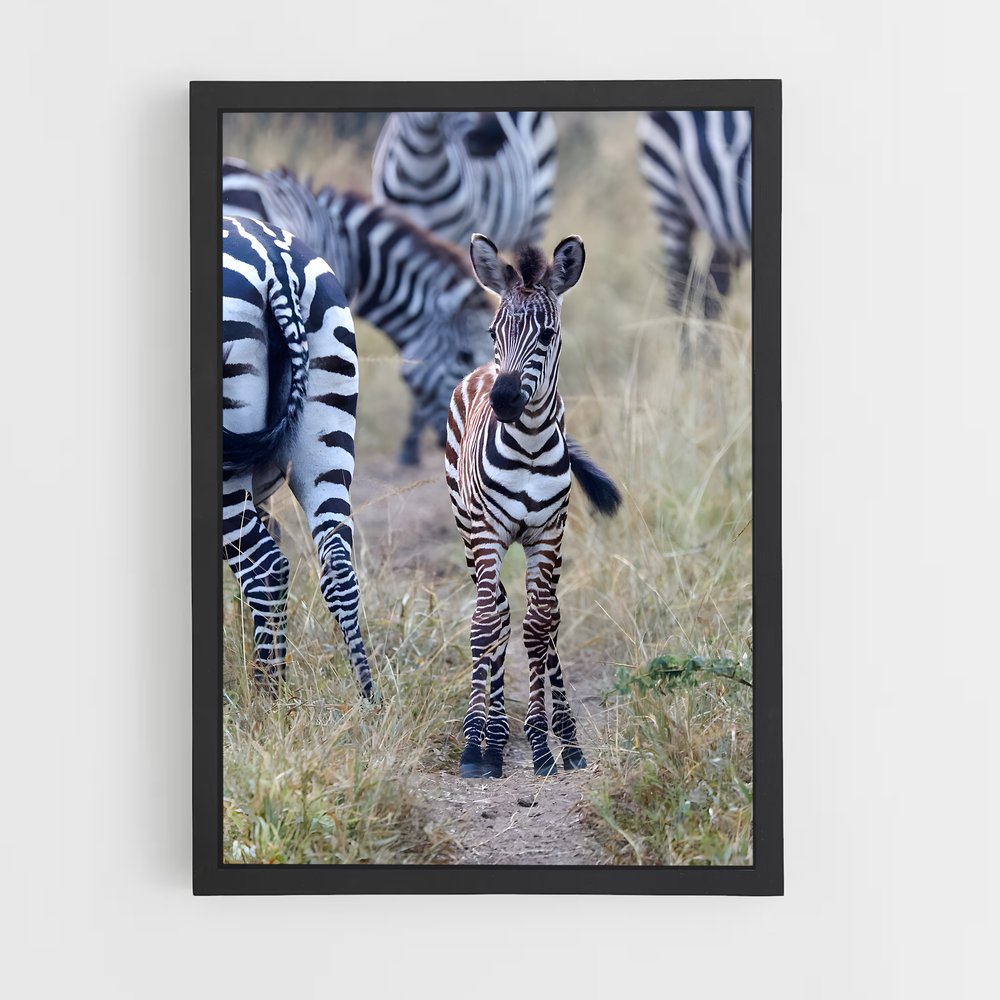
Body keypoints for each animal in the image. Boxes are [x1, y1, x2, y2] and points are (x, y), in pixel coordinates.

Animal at [222, 215, 372, 698]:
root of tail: (275, 261)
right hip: (326, 436)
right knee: (339, 565)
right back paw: (366, 698)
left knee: (265, 569)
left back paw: (267, 699)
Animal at [445, 233, 622, 779]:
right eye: (493, 330)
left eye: (546, 334)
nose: (503, 401)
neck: (526, 446)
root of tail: (484, 371)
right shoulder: (488, 533)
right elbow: (486, 626)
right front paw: (475, 748)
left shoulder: (548, 534)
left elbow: (540, 628)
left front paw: (546, 744)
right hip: (467, 531)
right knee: (499, 613)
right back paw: (493, 738)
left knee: (547, 618)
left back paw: (565, 739)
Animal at [637, 110, 752, 356]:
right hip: (669, 200)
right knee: (679, 291)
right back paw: (689, 363)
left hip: (725, 230)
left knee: (711, 293)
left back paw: (710, 363)